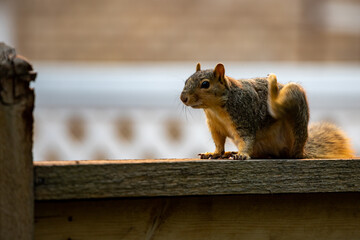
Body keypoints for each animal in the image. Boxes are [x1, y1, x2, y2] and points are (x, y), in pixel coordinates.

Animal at [180, 62, 354, 159]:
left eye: (205, 84)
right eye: (186, 81)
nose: (183, 98)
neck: (214, 109)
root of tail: (302, 150)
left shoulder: (244, 116)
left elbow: (247, 138)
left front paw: (242, 154)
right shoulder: (215, 126)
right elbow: (218, 142)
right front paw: (215, 153)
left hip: (294, 106)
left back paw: (272, 87)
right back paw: (232, 153)